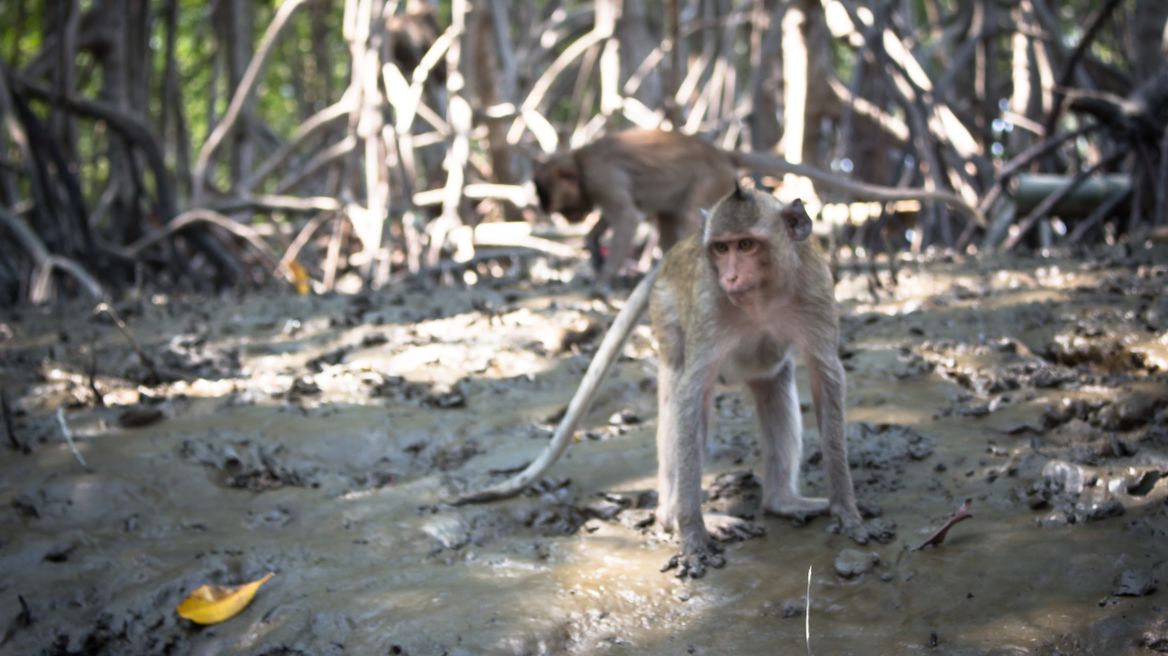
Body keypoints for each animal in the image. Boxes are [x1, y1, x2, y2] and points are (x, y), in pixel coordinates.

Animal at [452, 184, 866, 578]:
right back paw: (674, 516)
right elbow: (691, 396)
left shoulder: (815, 289)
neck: (762, 296)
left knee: (773, 385)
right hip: (666, 312)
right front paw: (693, 536)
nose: (730, 276)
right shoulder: (709, 302)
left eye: (746, 245)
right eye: (721, 248)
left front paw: (846, 509)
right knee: (680, 400)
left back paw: (781, 501)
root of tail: (677, 249)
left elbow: (826, 377)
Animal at [532, 129, 984, 289]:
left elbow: (626, 216)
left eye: (553, 200)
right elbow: (616, 218)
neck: (580, 161)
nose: (565, 218)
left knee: (681, 216)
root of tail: (719, 152)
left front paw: (602, 279)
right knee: (668, 217)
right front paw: (592, 246)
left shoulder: (602, 176)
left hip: (709, 180)